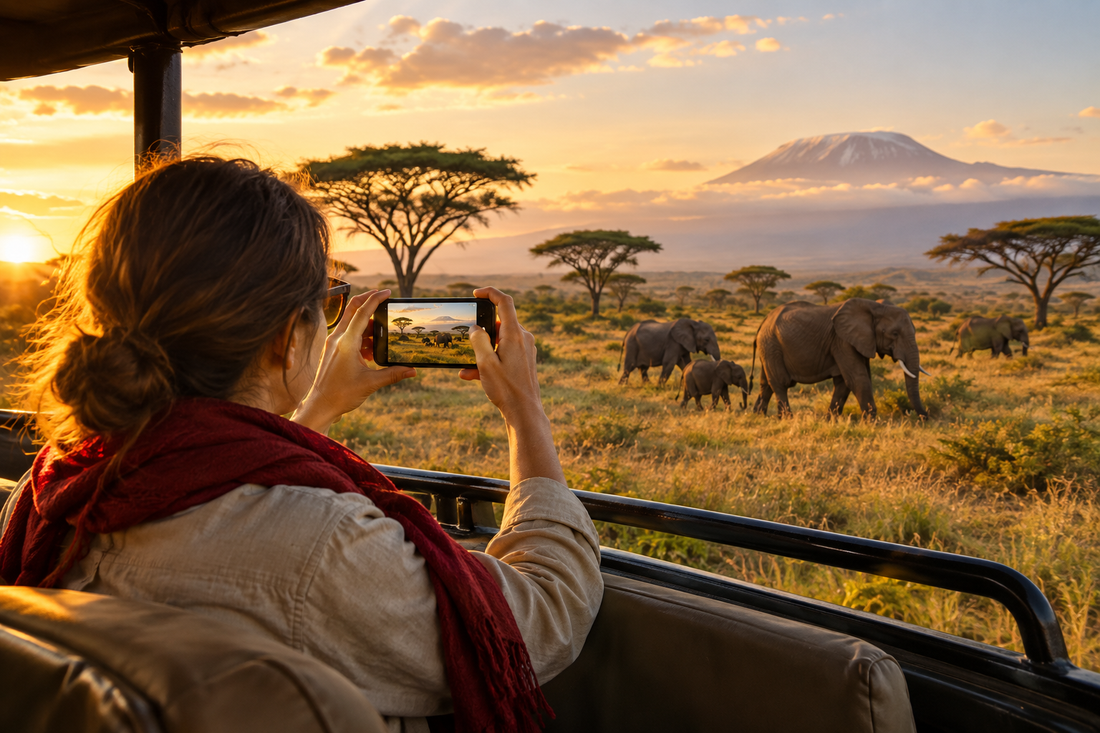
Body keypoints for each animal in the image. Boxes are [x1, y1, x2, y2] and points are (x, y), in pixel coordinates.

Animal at [751, 298, 929, 419]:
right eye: (895, 333)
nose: (924, 417)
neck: (874, 306)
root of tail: (763, 320)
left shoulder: (860, 341)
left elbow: (844, 383)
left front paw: (830, 421)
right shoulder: (842, 341)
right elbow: (858, 379)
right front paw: (872, 423)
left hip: (768, 347)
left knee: (765, 384)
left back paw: (758, 417)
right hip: (771, 344)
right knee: (780, 383)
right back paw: (787, 419)